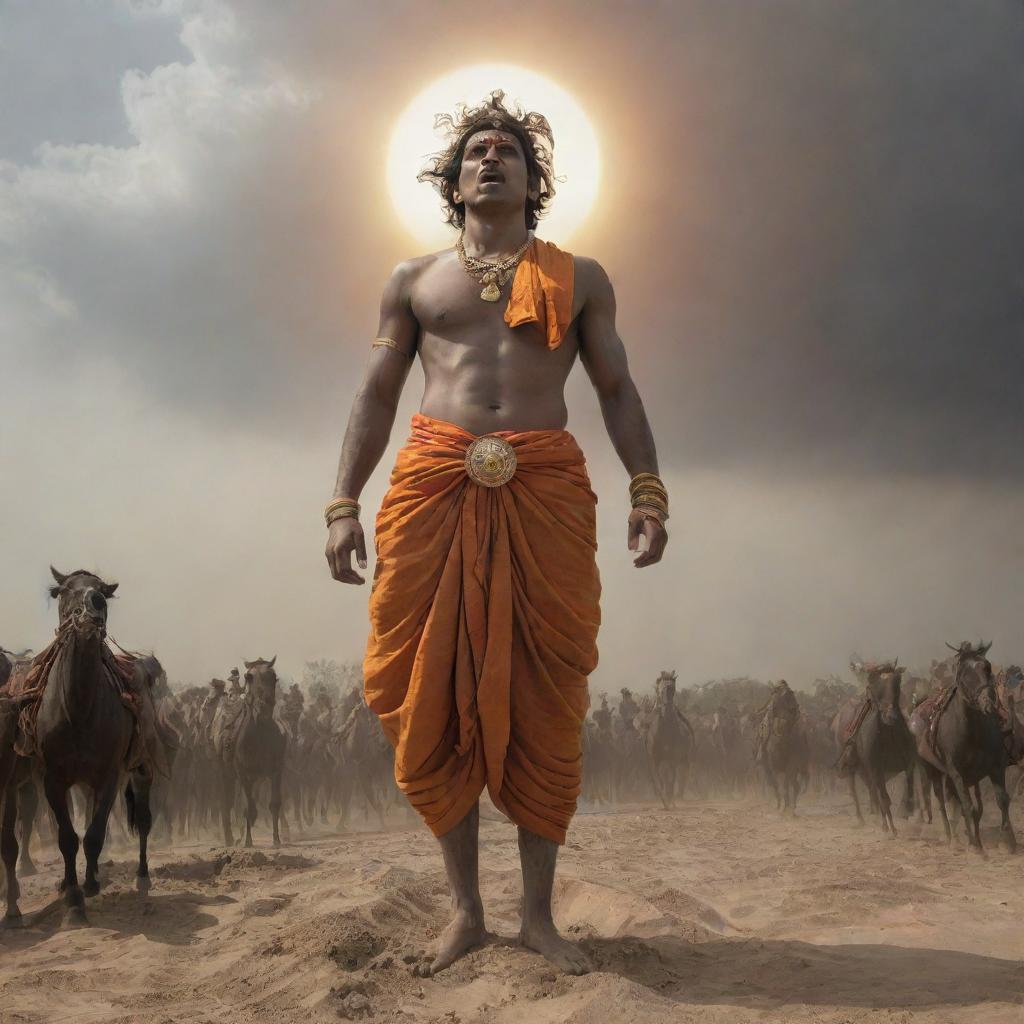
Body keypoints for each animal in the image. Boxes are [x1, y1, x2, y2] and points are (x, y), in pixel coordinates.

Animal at [2, 569, 159, 929]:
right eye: (63, 590)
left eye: (103, 591)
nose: (94, 604)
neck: (78, 710)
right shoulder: (52, 780)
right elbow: (68, 838)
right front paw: (73, 901)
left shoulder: (109, 776)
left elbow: (95, 833)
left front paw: (88, 887)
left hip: (140, 768)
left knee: (142, 819)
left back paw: (140, 877)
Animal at [211, 655, 284, 847]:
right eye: (249, 676)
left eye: (273, 676)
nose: (264, 706)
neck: (259, 735)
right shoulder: (243, 774)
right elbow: (247, 807)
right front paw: (248, 841)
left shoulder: (275, 771)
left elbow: (274, 804)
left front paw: (276, 839)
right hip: (225, 773)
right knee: (227, 802)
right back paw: (229, 838)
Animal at [831, 659, 921, 835]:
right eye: (875, 683)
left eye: (897, 681)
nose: (890, 716)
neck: (889, 734)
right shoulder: (875, 768)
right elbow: (883, 797)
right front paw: (889, 828)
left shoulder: (908, 763)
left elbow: (908, 786)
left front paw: (906, 811)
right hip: (852, 767)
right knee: (855, 790)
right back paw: (863, 818)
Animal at [913, 638, 1015, 856]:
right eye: (964, 673)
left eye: (987, 667)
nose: (988, 703)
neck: (972, 733)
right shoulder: (957, 773)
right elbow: (968, 806)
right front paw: (975, 846)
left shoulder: (995, 767)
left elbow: (1002, 799)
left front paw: (1007, 841)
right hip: (933, 771)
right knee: (941, 802)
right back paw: (951, 837)